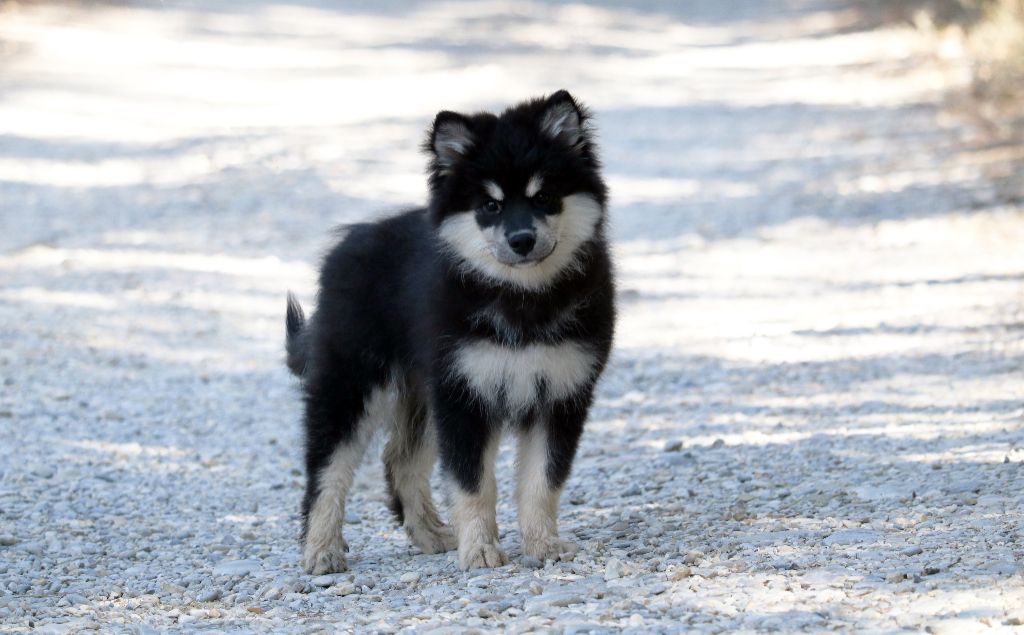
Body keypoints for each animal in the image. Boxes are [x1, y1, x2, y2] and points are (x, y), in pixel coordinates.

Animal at [284, 90, 615, 573]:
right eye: (490, 205)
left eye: (545, 197)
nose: (521, 240)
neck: (522, 299)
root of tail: (346, 244)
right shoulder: (465, 395)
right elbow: (474, 483)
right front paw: (480, 550)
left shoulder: (560, 394)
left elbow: (542, 482)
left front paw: (543, 546)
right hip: (353, 384)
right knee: (326, 469)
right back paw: (321, 550)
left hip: (421, 392)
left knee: (399, 461)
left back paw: (431, 534)